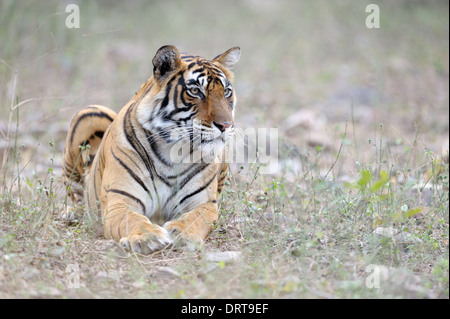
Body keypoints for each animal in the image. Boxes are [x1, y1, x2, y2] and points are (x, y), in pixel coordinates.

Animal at [62, 45, 243, 255]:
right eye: (195, 91)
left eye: (227, 91)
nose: (226, 125)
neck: (175, 152)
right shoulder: (120, 201)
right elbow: (133, 219)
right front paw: (148, 237)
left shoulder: (204, 203)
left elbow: (195, 219)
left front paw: (182, 233)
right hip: (89, 113)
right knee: (74, 194)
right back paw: (72, 214)